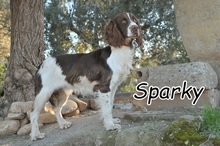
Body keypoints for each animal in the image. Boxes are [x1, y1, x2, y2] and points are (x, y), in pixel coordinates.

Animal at [30, 12, 143, 140]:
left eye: (135, 20)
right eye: (124, 21)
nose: (135, 28)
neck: (119, 50)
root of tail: (41, 64)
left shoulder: (113, 87)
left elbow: (109, 105)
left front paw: (111, 121)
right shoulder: (104, 87)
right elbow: (107, 109)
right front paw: (110, 126)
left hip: (64, 92)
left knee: (56, 108)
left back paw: (63, 124)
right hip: (44, 92)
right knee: (33, 114)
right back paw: (36, 135)